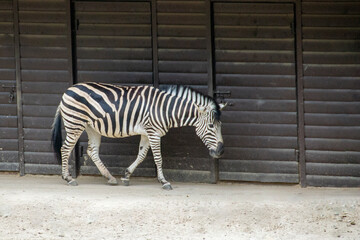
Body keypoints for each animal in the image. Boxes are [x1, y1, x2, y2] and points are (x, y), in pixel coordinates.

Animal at [51, 82, 225, 189]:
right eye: (211, 126)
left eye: (220, 126)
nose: (220, 151)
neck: (165, 109)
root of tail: (67, 91)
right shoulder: (154, 133)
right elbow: (158, 158)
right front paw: (164, 182)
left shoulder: (147, 133)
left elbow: (141, 155)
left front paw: (127, 176)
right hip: (75, 123)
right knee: (65, 149)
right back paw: (68, 178)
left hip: (91, 128)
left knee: (92, 151)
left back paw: (110, 178)